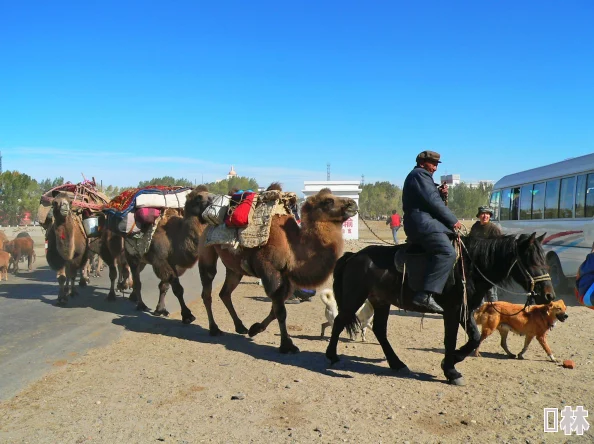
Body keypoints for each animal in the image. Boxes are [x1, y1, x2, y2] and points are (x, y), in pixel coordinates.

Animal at [123, 186, 209, 320]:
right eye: (198, 198)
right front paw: (187, 315)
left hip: (142, 259)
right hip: (132, 256)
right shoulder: (161, 262)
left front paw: (160, 310)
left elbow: (164, 286)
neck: (176, 238)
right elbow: (178, 289)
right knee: (137, 281)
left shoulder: (175, 264)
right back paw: (141, 305)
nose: (211, 199)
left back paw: (132, 297)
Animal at [198, 186, 356, 352]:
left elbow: (275, 310)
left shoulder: (287, 278)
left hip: (235, 269)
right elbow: (280, 311)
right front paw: (287, 345)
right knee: (207, 288)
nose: (352, 204)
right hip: (206, 251)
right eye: (327, 201)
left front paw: (255, 329)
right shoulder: (270, 271)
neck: (293, 247)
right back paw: (214, 329)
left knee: (225, 293)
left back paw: (240, 327)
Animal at [324, 232, 552, 386]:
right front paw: (450, 370)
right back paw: (332, 356)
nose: (549, 295)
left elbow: (474, 337)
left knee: (379, 330)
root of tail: (355, 256)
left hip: (381, 301)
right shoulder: (452, 311)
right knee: (339, 321)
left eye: (545, 259)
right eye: (532, 261)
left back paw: (397, 363)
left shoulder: (464, 311)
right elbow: (451, 340)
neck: (470, 267)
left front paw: (452, 361)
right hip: (355, 297)